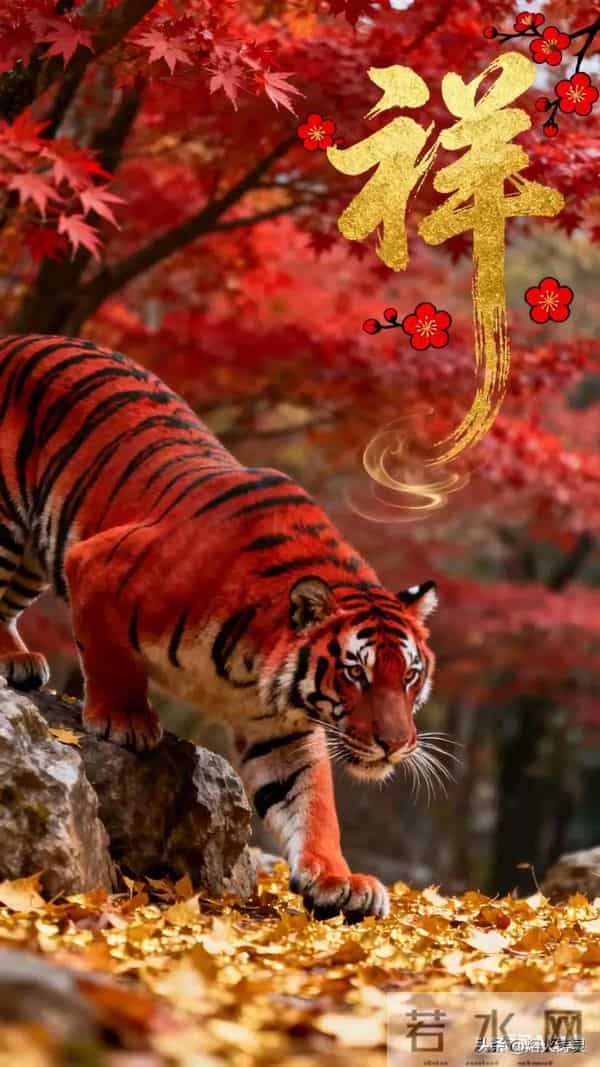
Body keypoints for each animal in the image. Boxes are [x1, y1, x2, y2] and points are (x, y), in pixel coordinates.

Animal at [0, 334, 440, 922]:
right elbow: (112, 659)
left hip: (31, 551)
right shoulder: (95, 562)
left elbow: (311, 801)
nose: (396, 745)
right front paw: (125, 721)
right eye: (356, 674)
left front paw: (337, 880)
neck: (251, 667)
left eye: (409, 675)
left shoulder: (280, 728)